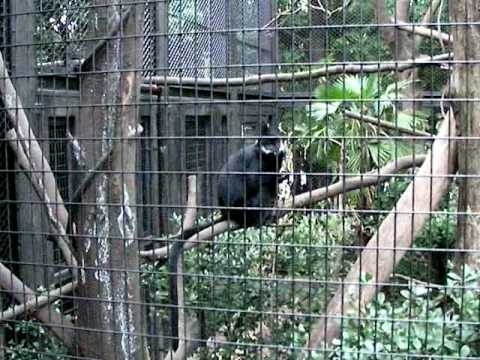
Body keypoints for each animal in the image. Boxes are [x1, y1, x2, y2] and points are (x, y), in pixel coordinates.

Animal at [168, 120, 284, 348]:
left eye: (276, 142)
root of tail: (225, 212)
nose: (274, 150)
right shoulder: (255, 162)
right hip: (243, 208)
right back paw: (261, 218)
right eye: (268, 144)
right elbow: (253, 182)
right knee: (260, 192)